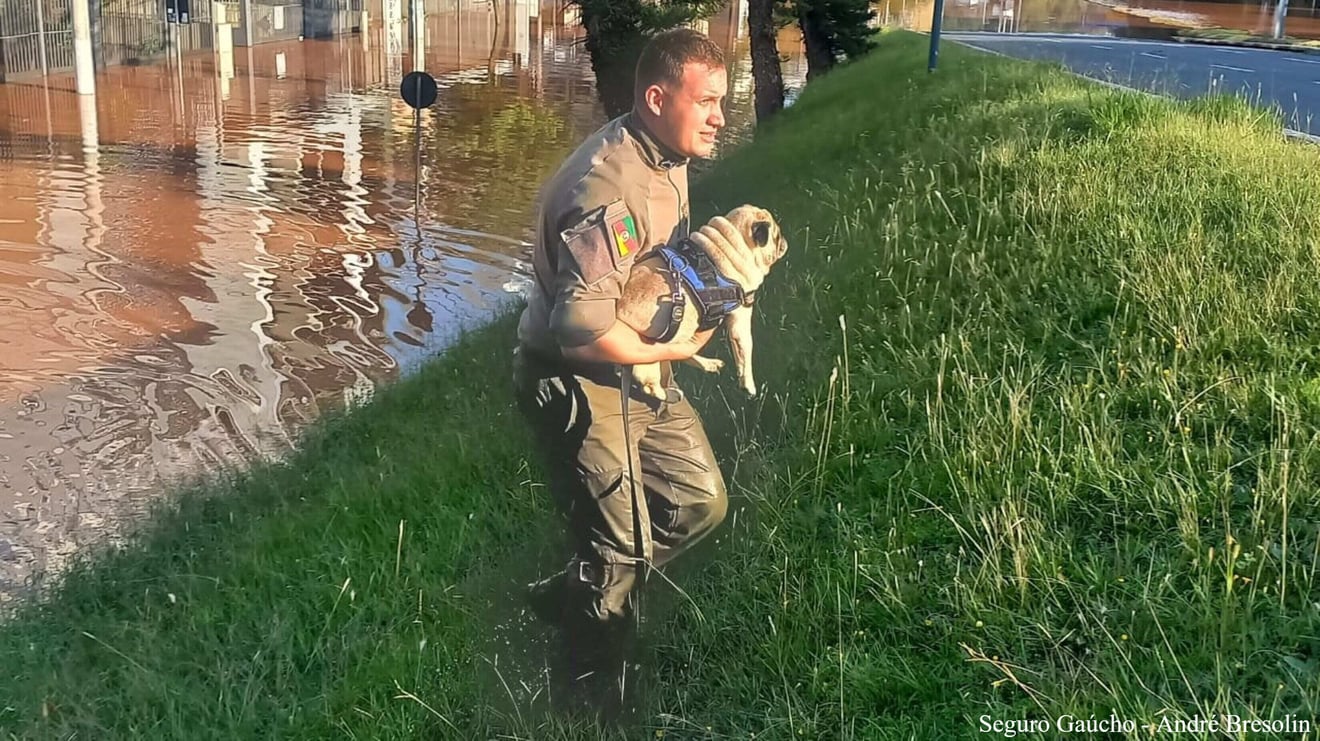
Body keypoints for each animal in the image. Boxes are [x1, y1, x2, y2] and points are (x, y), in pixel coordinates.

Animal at [615, 204, 786, 401]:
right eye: (777, 236)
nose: (784, 242)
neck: (727, 244)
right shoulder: (741, 318)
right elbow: (745, 350)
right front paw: (749, 386)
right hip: (646, 361)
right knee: (650, 387)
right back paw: (669, 394)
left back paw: (708, 364)